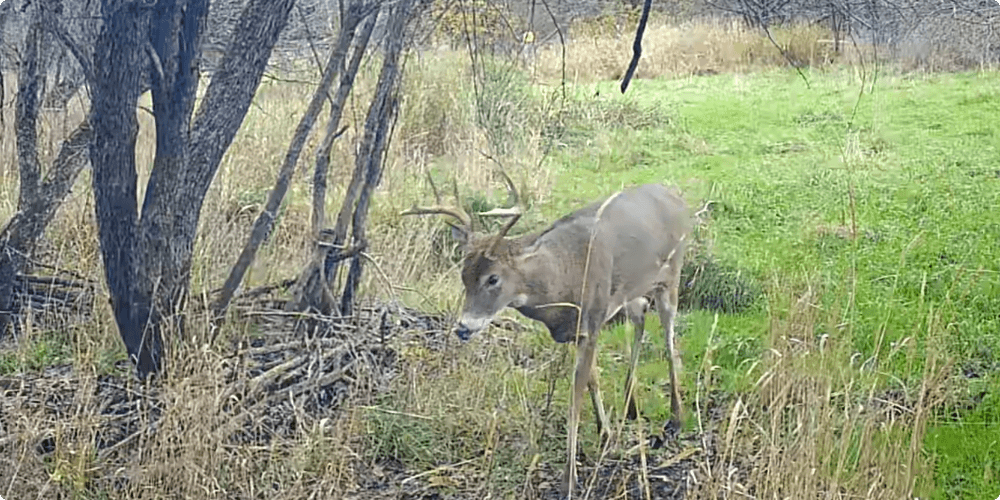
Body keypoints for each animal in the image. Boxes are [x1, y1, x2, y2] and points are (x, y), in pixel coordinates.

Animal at [401, 171, 691, 499]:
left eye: (493, 278)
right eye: (463, 275)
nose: (464, 327)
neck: (561, 279)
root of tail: (676, 197)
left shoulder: (592, 320)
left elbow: (574, 402)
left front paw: (570, 480)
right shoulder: (580, 330)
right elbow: (593, 379)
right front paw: (606, 435)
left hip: (672, 273)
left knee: (668, 336)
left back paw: (676, 419)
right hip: (634, 290)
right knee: (640, 314)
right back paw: (631, 405)